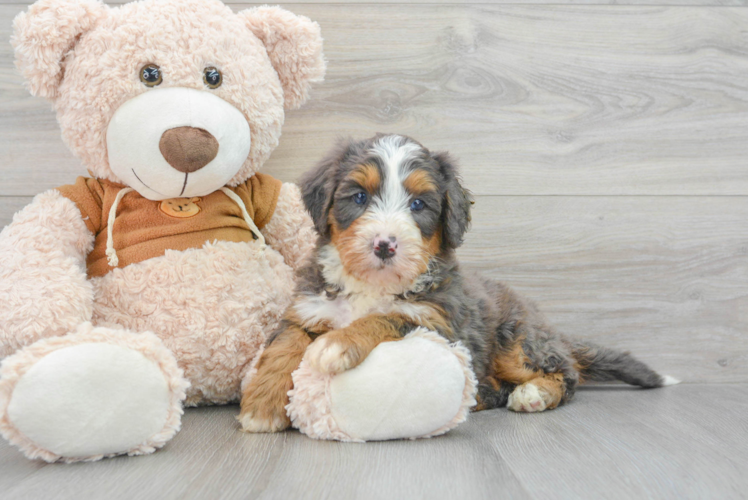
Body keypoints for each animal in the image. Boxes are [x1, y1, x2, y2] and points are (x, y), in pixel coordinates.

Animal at [240, 134, 676, 434]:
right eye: (360, 197)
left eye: (418, 204)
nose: (384, 244)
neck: (373, 286)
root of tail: (547, 324)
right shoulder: (309, 308)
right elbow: (283, 346)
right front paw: (261, 405)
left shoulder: (434, 318)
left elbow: (383, 319)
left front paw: (338, 345)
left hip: (517, 341)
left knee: (565, 374)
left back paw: (533, 394)